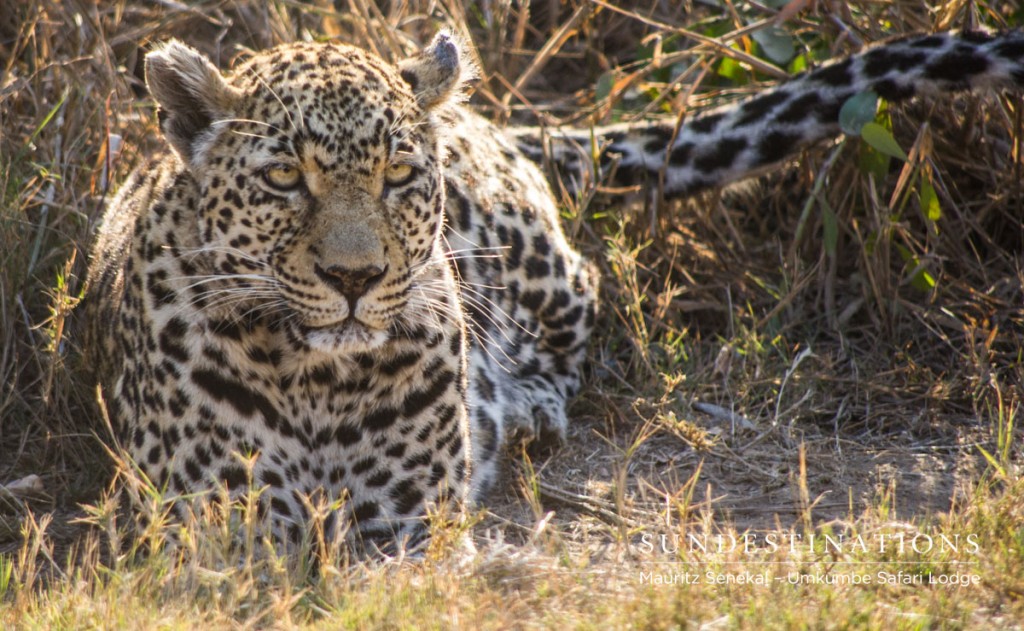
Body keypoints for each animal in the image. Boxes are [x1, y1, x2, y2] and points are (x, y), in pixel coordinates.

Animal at [83, 24, 1024, 549]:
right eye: (284, 179)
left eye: (398, 176)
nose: (356, 277)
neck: (314, 378)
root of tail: (488, 118)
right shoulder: (211, 532)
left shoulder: (404, 526)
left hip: (529, 257)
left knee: (585, 292)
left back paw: (528, 404)